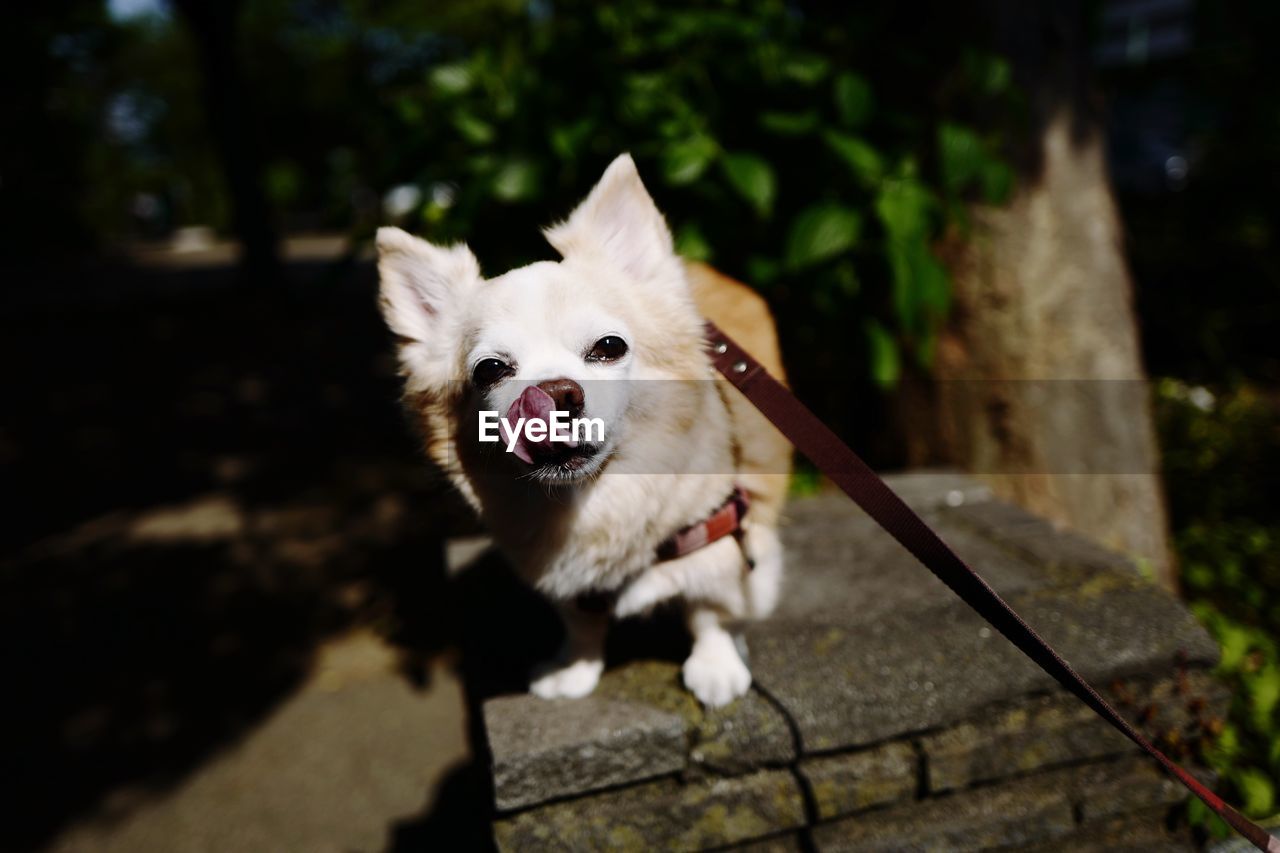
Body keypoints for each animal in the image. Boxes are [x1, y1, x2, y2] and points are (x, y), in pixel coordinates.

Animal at [373, 153, 788, 701]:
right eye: (490, 370)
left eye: (609, 347)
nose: (556, 393)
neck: (594, 503)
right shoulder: (559, 572)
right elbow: (581, 621)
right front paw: (576, 668)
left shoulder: (719, 529)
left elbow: (710, 611)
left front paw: (716, 664)